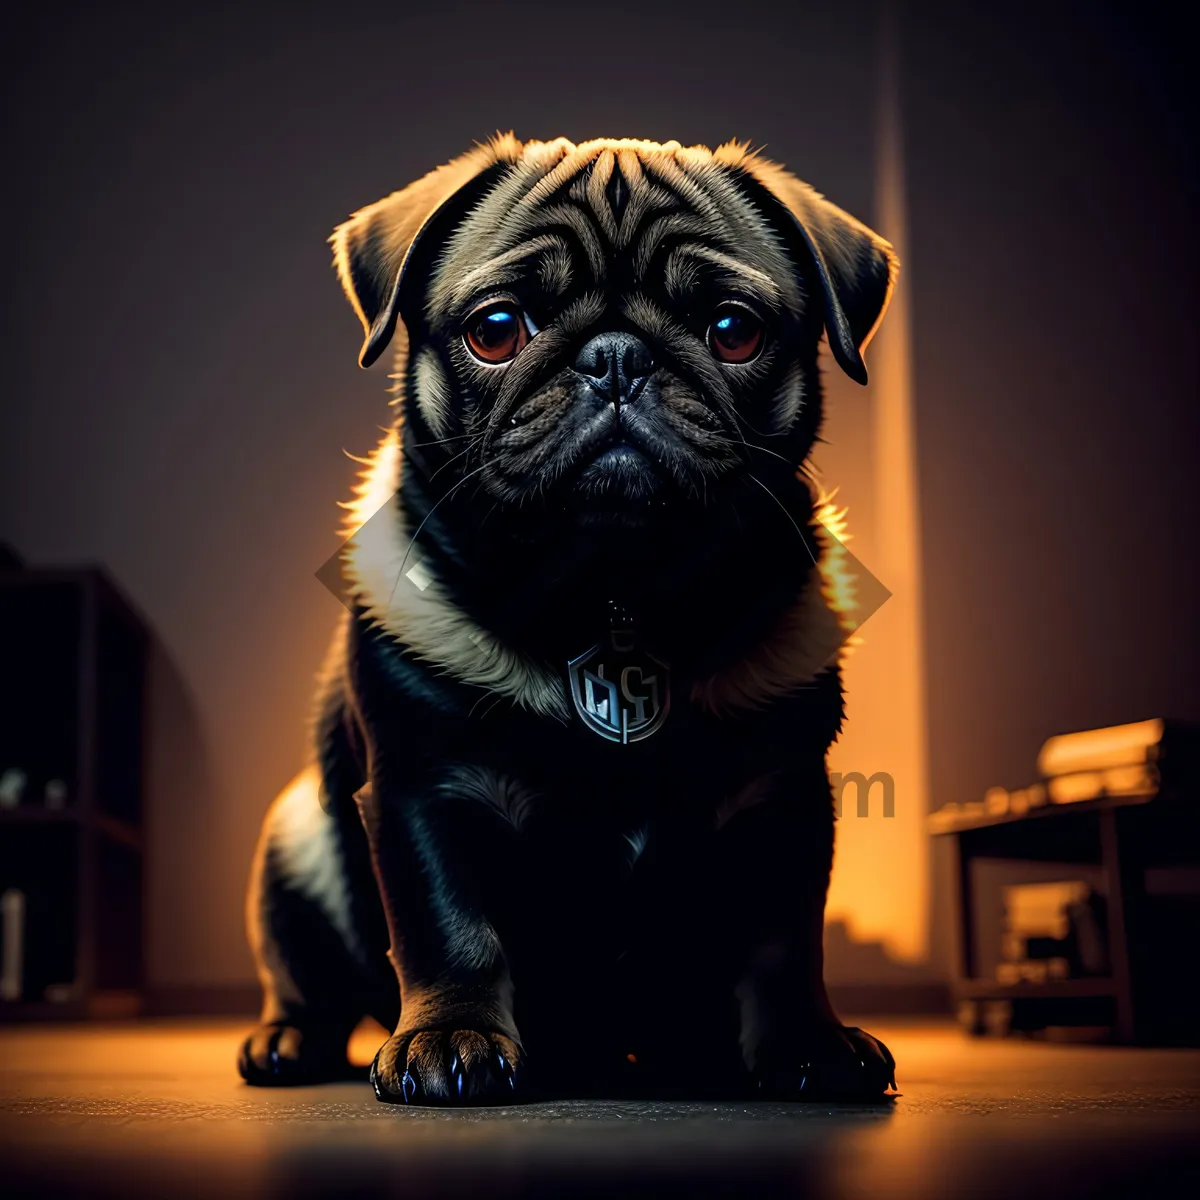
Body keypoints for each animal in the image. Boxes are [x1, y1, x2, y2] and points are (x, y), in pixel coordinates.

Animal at [238, 136, 902, 1099]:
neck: (610, 593)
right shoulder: (423, 789)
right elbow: (449, 928)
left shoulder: (781, 795)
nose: (616, 356)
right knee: (305, 975)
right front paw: (453, 1039)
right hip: (295, 840)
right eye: (495, 329)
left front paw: (808, 1044)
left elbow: (783, 940)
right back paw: (290, 1039)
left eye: (733, 329)